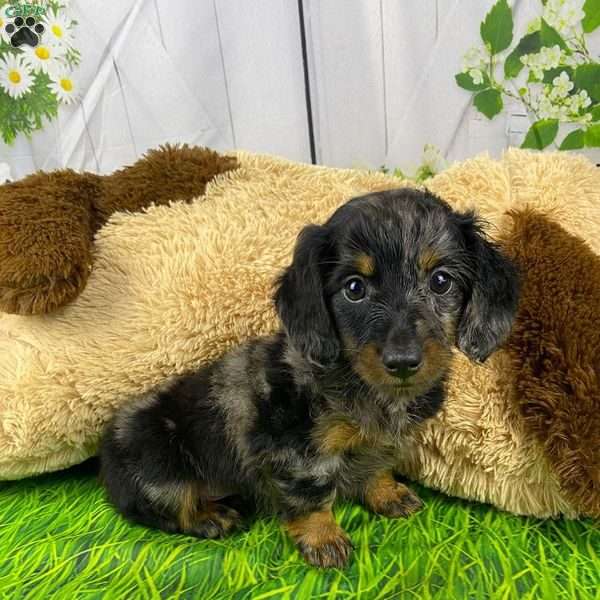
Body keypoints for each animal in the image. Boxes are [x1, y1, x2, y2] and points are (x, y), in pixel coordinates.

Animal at [101, 189, 516, 568]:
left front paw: (387, 493)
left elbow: (377, 464)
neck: (366, 386)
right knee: (165, 506)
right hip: (157, 461)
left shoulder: (381, 441)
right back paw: (208, 516)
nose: (402, 362)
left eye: (441, 281)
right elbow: (312, 496)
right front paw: (324, 539)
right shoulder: (296, 449)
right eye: (354, 288)